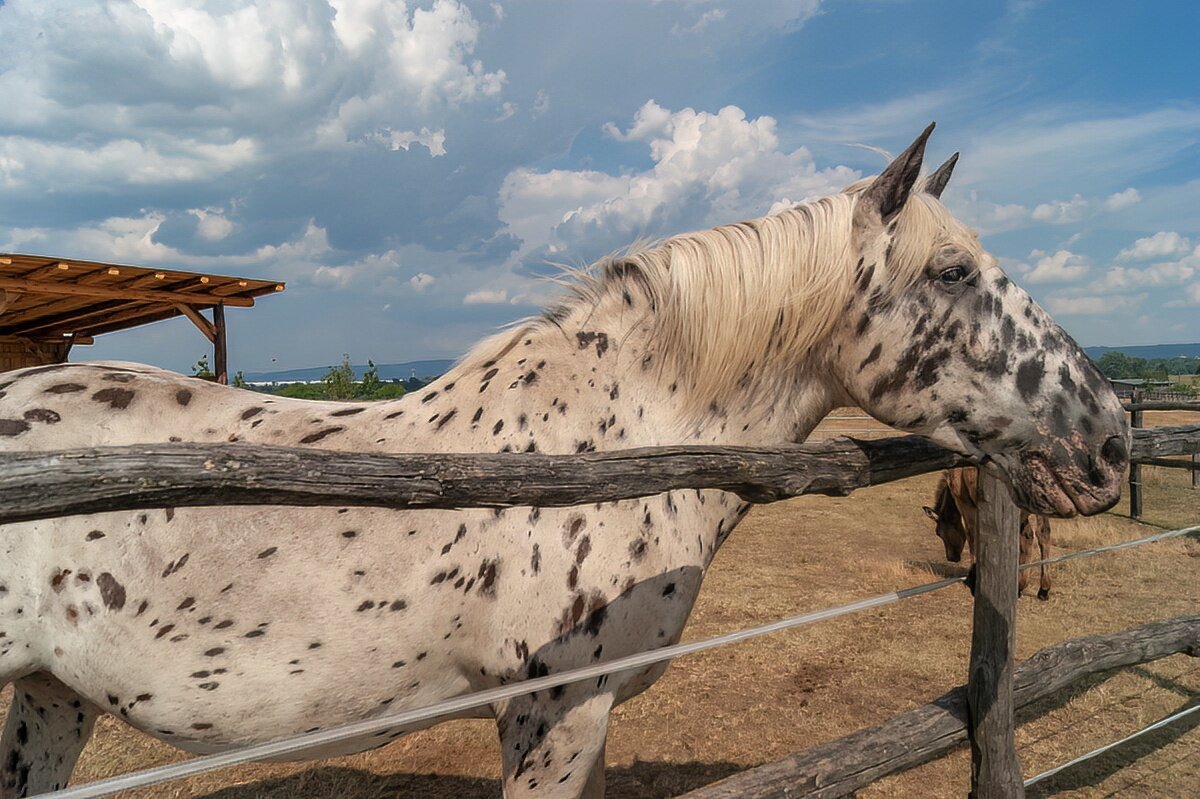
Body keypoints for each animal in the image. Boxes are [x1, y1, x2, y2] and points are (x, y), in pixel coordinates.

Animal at [926, 467, 1051, 597]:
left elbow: (972, 536)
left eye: (938, 533)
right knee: (1041, 534)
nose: (951, 557)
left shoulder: (966, 504)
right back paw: (1041, 588)